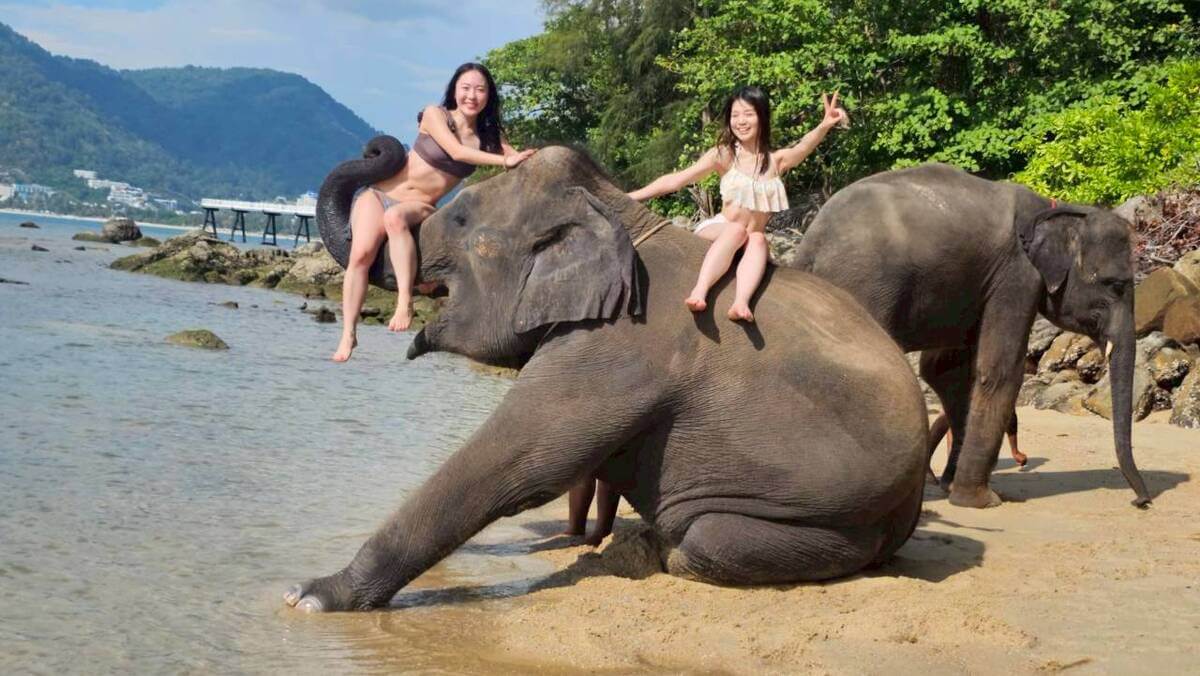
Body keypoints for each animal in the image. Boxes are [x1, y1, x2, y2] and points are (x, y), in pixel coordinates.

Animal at [285, 145, 930, 612]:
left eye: (462, 217)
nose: (381, 148)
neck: (617, 211)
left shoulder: (614, 346)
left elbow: (519, 467)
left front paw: (311, 596)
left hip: (836, 518)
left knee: (703, 540)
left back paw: (656, 550)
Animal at [793, 163, 1151, 508]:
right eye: (1116, 285)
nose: (1140, 501)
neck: (1055, 208)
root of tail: (810, 245)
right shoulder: (1016, 276)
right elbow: (1000, 370)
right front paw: (982, 501)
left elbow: (943, 370)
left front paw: (951, 486)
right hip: (863, 288)